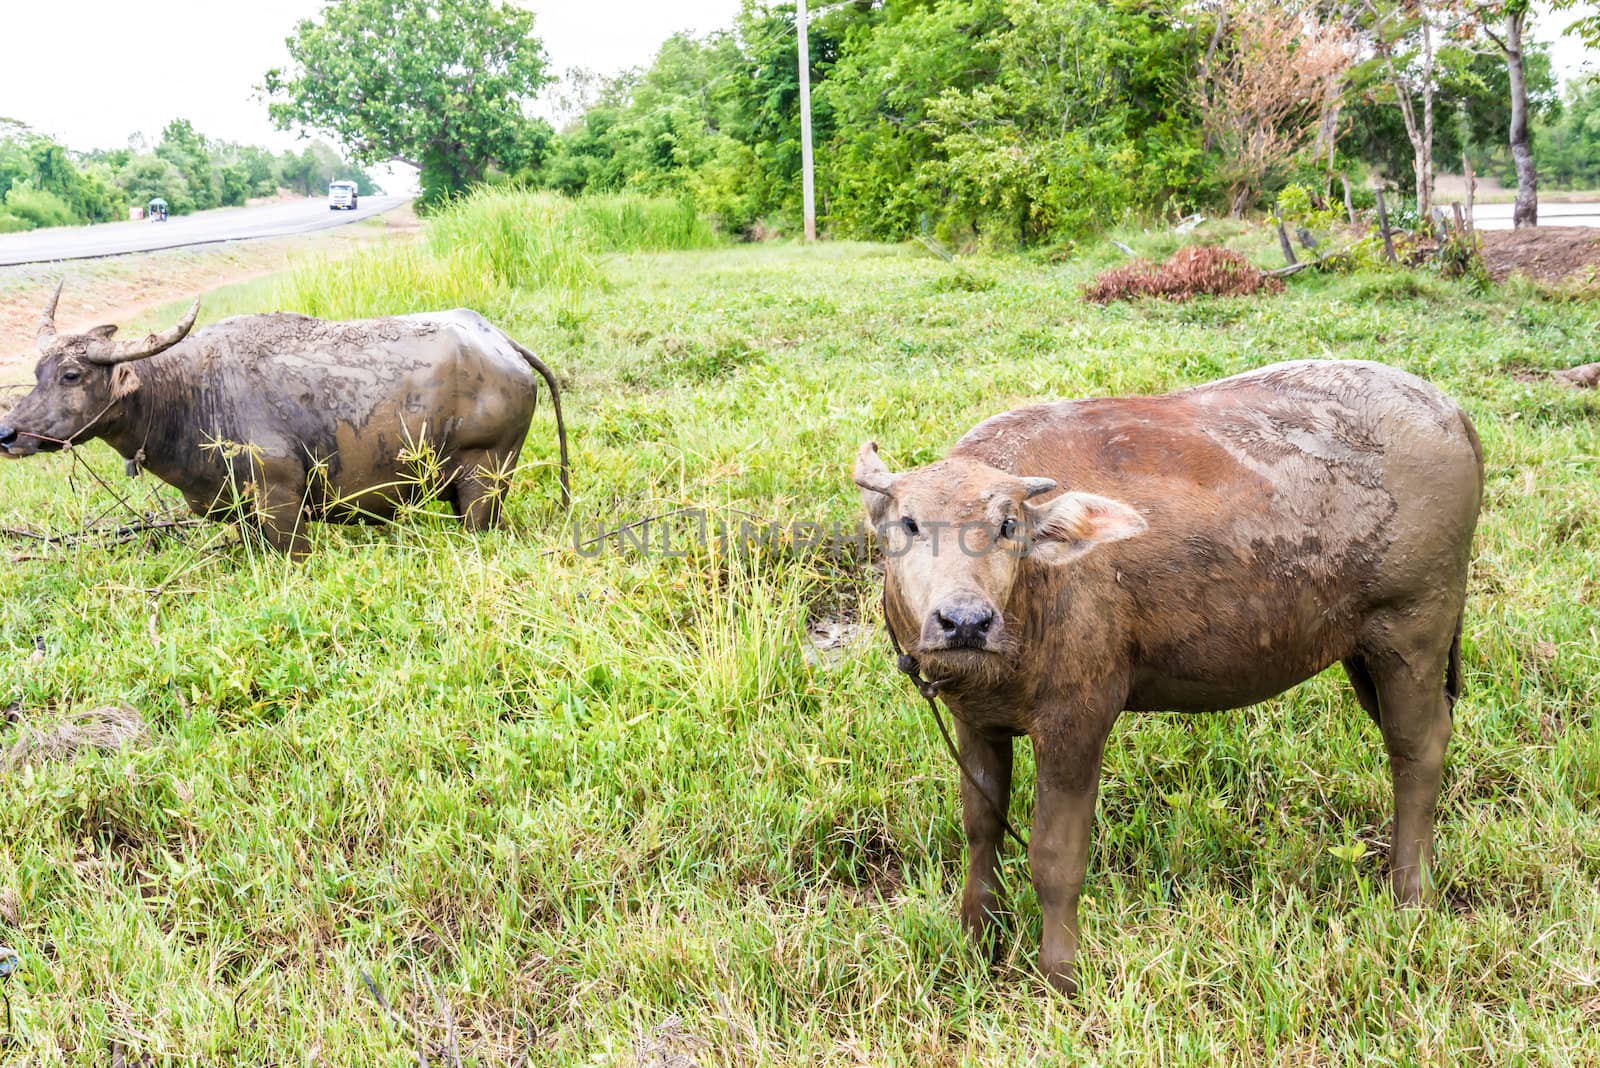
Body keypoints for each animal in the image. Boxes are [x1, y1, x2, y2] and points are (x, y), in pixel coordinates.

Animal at [1, 282, 569, 549]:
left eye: (71, 375)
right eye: (37, 371)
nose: (7, 432)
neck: (190, 393)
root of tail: (501, 344)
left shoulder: (282, 503)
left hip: (483, 478)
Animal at [864, 358, 1484, 991]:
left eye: (1009, 526)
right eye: (909, 524)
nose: (964, 621)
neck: (1033, 596)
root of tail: (1446, 409)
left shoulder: (1077, 720)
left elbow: (1055, 855)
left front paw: (1060, 975)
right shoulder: (976, 721)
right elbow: (980, 825)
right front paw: (977, 936)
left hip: (1413, 630)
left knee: (1417, 750)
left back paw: (1411, 896)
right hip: (1361, 650)